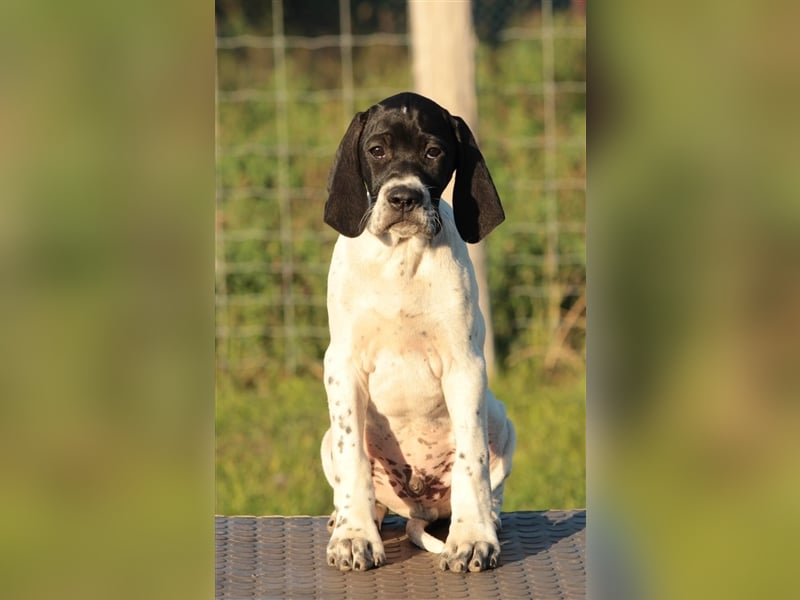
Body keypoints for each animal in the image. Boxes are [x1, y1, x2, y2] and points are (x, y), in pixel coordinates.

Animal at [320, 92, 516, 572]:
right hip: (327, 438)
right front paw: (354, 537)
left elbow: (471, 459)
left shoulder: (465, 367)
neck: (402, 260)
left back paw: (487, 519)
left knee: (488, 481)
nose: (404, 198)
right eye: (376, 150)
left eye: (433, 152)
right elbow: (353, 458)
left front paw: (472, 538)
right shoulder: (342, 366)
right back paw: (352, 517)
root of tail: (419, 505)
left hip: (501, 419)